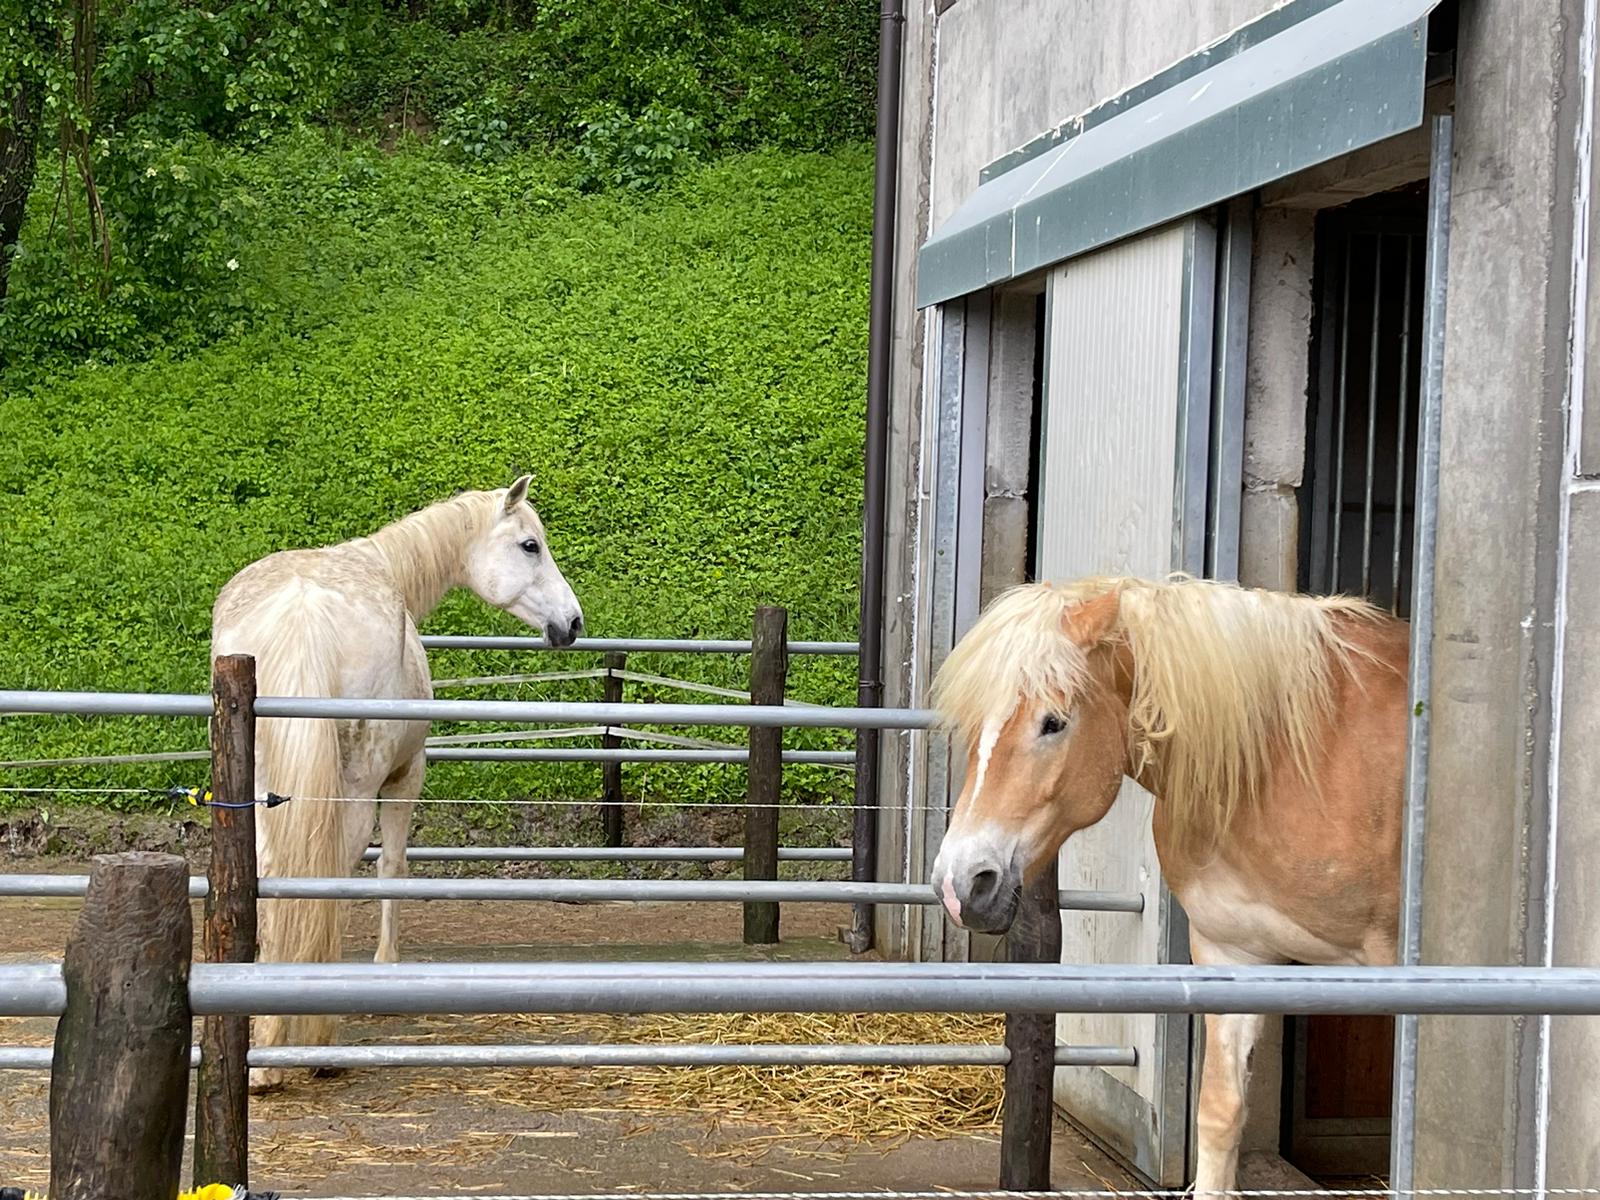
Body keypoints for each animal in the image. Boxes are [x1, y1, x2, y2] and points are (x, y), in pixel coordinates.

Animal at [211, 475, 584, 1091]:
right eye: (530, 545)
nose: (573, 624)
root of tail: (302, 609)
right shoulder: (407, 777)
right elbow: (391, 868)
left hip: (265, 794)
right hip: (357, 790)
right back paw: (317, 1040)